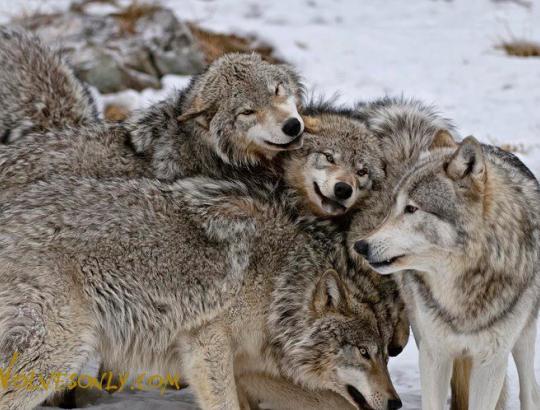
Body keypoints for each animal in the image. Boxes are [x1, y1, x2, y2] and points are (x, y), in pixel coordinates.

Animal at [0, 176, 400, 410]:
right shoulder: (207, 344)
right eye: (364, 353)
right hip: (57, 356)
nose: (395, 403)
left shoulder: (247, 368)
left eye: (384, 356)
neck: (278, 284)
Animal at [354, 136, 540, 408]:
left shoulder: (491, 362)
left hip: (523, 337)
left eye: (411, 209)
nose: (360, 246)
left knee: (530, 390)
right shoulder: (434, 354)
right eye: (393, 207)